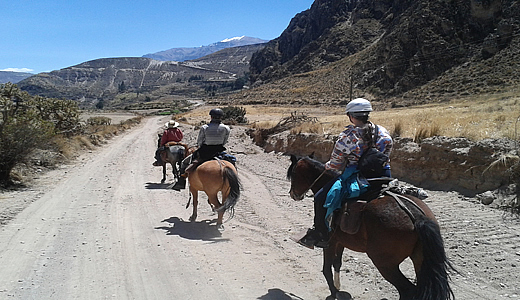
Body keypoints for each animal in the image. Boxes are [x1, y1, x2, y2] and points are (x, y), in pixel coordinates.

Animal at [286, 155, 452, 300]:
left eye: (293, 174)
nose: (293, 194)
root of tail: (417, 216)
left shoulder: (329, 242)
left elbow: (327, 269)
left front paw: (334, 293)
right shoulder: (340, 241)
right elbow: (337, 264)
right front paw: (338, 287)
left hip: (385, 264)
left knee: (408, 291)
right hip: (419, 261)